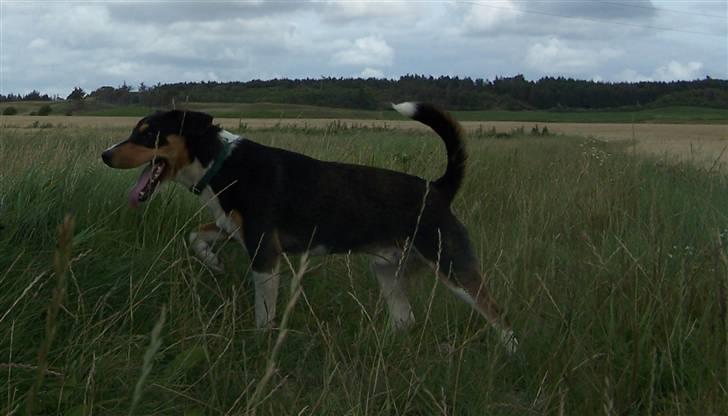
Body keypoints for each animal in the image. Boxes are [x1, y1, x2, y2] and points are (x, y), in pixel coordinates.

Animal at [102, 103, 520, 352]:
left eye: (147, 133)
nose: (105, 155)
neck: (222, 163)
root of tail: (437, 189)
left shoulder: (264, 250)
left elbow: (264, 311)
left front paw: (260, 343)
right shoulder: (234, 229)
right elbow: (195, 237)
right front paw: (214, 262)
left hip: (453, 267)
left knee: (499, 315)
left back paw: (512, 354)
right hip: (387, 271)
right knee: (407, 319)